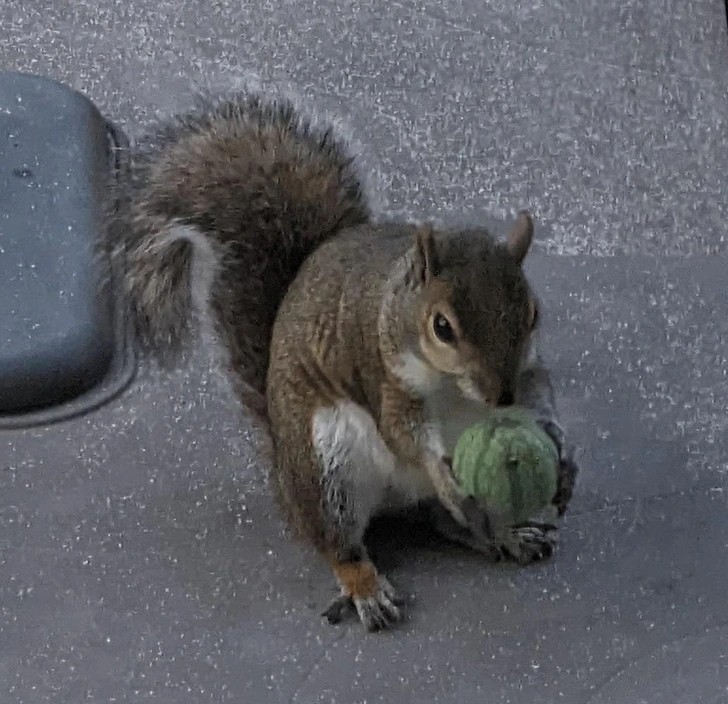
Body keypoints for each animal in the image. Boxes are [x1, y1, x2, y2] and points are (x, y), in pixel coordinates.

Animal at [115, 95, 580, 632]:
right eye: (442, 327)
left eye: (533, 313)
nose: (499, 398)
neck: (454, 386)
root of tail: (284, 475)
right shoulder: (383, 377)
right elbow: (404, 434)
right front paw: (442, 471)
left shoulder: (527, 370)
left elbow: (540, 398)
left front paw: (564, 455)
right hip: (328, 465)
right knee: (338, 541)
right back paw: (366, 586)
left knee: (445, 520)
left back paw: (504, 533)